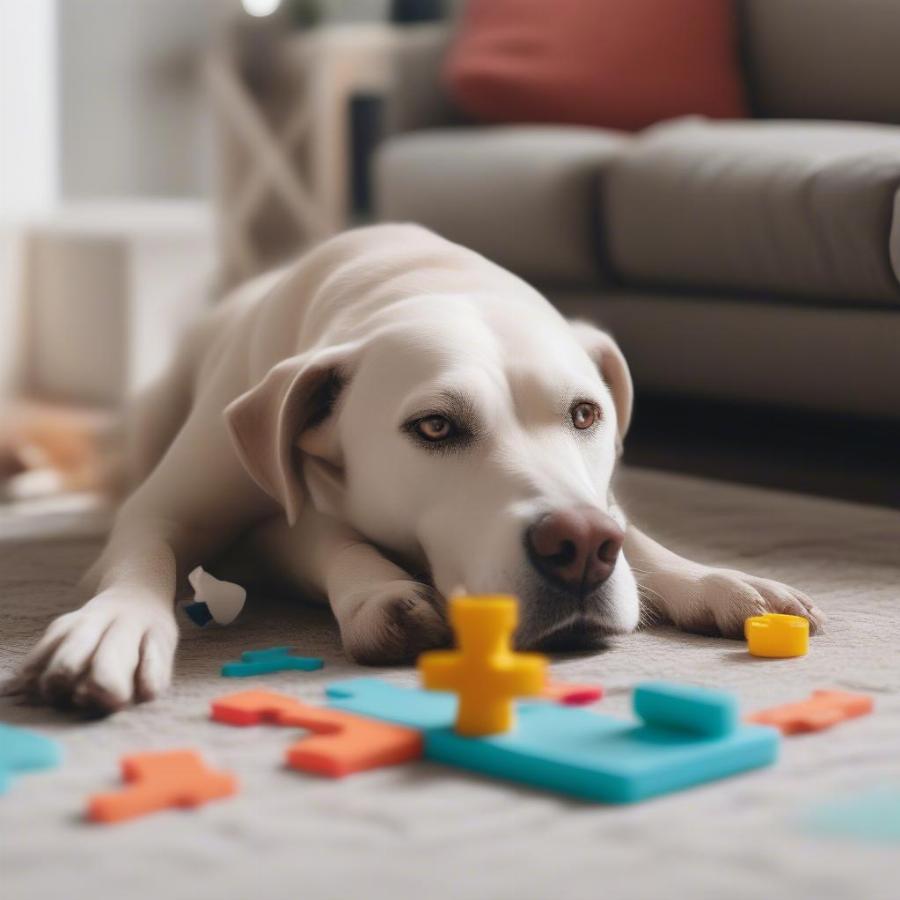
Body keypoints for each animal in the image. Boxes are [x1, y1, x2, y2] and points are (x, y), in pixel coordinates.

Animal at [12, 223, 824, 712]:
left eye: (585, 415)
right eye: (435, 427)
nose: (583, 547)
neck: (419, 277)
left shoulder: (607, 501)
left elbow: (644, 539)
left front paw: (717, 581)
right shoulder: (174, 514)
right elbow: (153, 558)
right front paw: (113, 627)